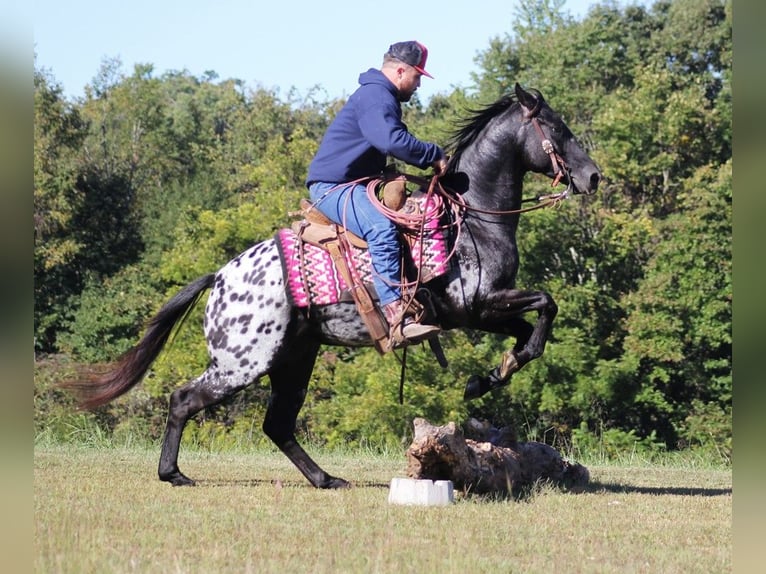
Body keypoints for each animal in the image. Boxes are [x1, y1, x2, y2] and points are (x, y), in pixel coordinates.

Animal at [66, 84, 604, 490]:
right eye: (558, 128)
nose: (594, 177)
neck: (470, 220)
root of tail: (219, 277)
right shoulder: (473, 306)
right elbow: (546, 306)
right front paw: (492, 373)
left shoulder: (481, 312)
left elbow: (529, 331)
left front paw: (489, 376)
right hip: (242, 362)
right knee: (184, 400)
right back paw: (173, 473)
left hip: (293, 360)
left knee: (277, 425)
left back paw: (326, 479)